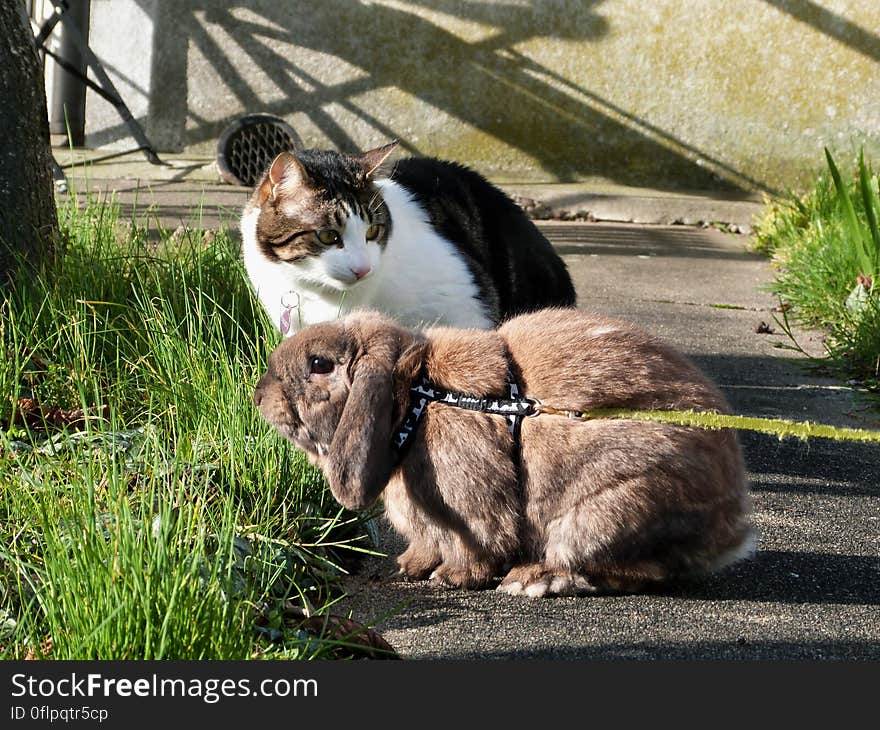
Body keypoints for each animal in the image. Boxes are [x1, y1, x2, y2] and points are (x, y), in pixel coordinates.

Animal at [251, 308, 752, 596]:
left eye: (320, 364)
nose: (259, 394)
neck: (413, 400)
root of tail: (731, 529)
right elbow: (425, 544)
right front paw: (409, 567)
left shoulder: (474, 509)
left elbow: (478, 546)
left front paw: (451, 578)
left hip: (605, 510)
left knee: (636, 570)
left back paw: (535, 580)